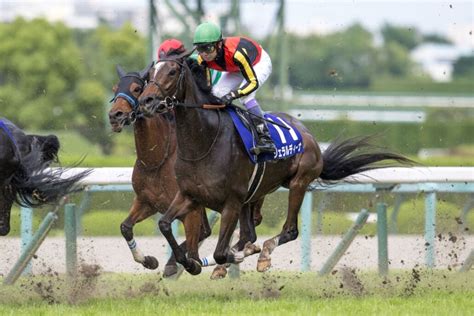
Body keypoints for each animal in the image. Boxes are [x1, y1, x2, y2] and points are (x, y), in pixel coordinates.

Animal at [137, 55, 412, 276]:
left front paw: (229, 257)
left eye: (172, 72)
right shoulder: (189, 195)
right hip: (255, 194)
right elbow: (164, 225)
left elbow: (220, 251)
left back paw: (262, 254)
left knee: (288, 231)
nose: (147, 101)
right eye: (149, 74)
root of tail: (308, 135)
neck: (205, 141)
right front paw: (188, 263)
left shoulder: (231, 202)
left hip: (298, 182)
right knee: (249, 234)